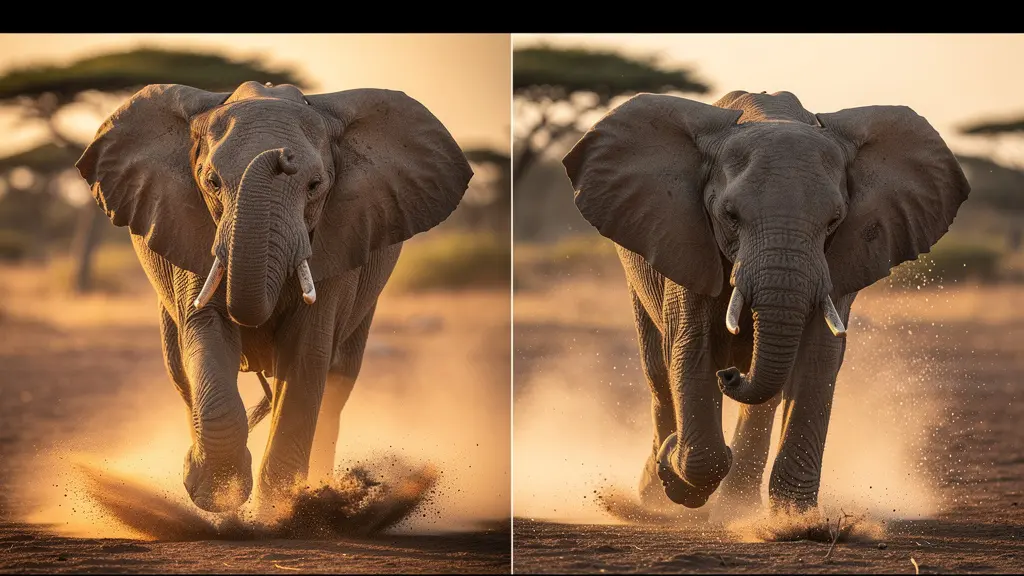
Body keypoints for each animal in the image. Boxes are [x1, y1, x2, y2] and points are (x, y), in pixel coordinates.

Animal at [75, 81, 472, 513]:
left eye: (315, 185)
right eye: (212, 181)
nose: (282, 156)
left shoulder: (339, 239)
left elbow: (307, 353)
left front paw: (282, 511)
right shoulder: (190, 229)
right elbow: (206, 333)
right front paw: (218, 496)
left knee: (337, 383)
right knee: (179, 370)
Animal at [562, 90, 970, 516]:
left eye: (834, 220)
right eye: (730, 215)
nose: (730, 375)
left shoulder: (838, 261)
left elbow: (819, 357)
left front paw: (796, 522)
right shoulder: (687, 239)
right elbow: (691, 347)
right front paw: (677, 471)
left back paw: (732, 507)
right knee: (658, 370)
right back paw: (656, 492)